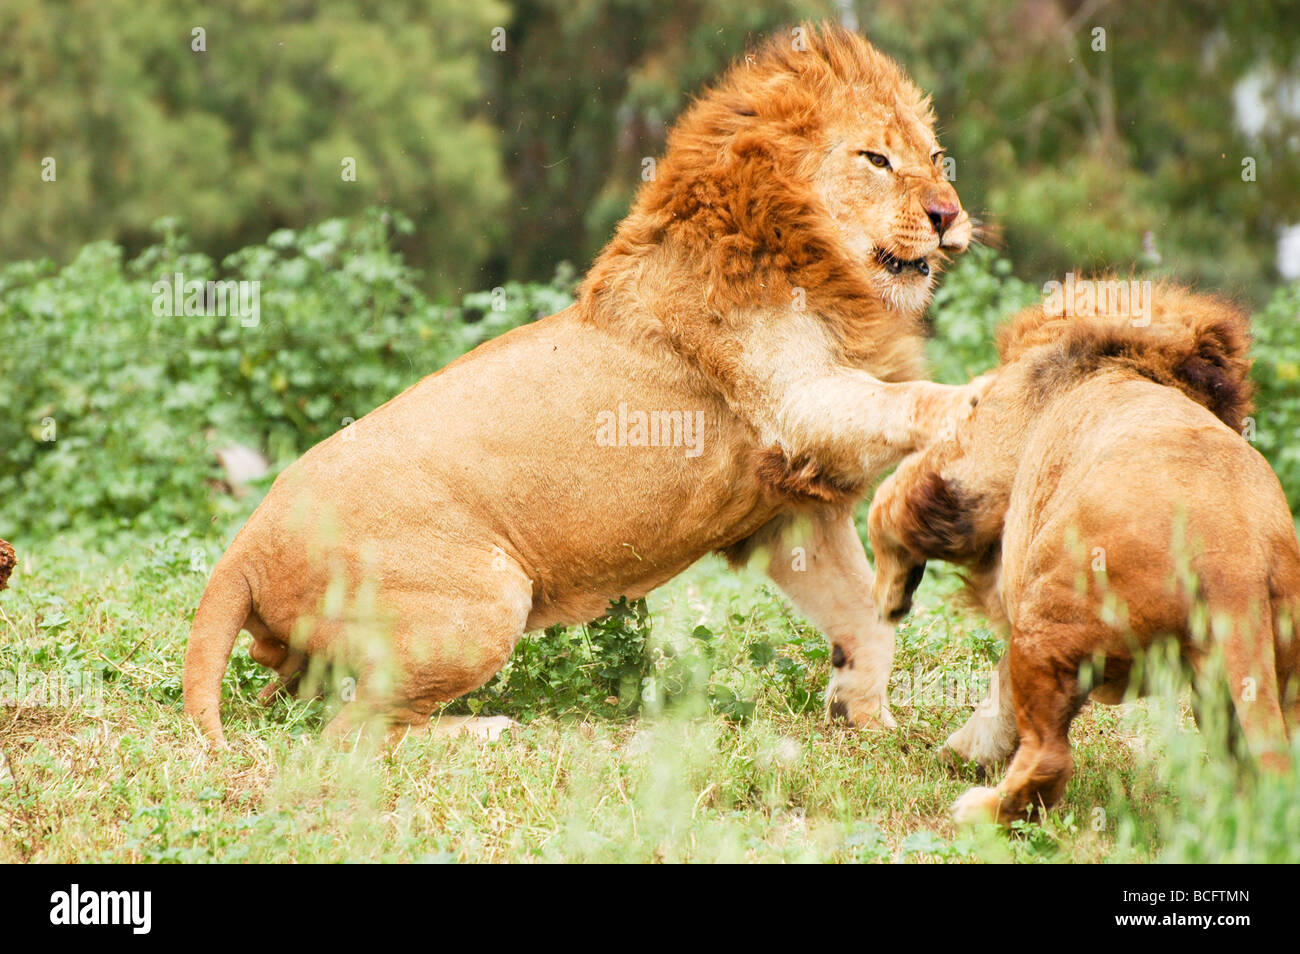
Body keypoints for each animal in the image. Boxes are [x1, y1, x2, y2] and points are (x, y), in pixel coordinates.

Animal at [180, 22, 977, 748]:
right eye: (876, 159)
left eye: (938, 159)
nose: (948, 215)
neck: (819, 265)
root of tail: (246, 547)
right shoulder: (795, 407)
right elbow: (903, 400)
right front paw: (979, 400)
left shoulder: (786, 510)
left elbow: (864, 618)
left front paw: (867, 720)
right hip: (489, 599)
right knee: (352, 733)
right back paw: (489, 730)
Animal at [863, 282, 1300, 821]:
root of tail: (1235, 565)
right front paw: (967, 750)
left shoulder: (974, 469)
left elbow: (888, 506)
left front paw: (889, 597)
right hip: (1254, 679)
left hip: (1051, 619)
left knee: (1048, 758)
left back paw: (980, 811)